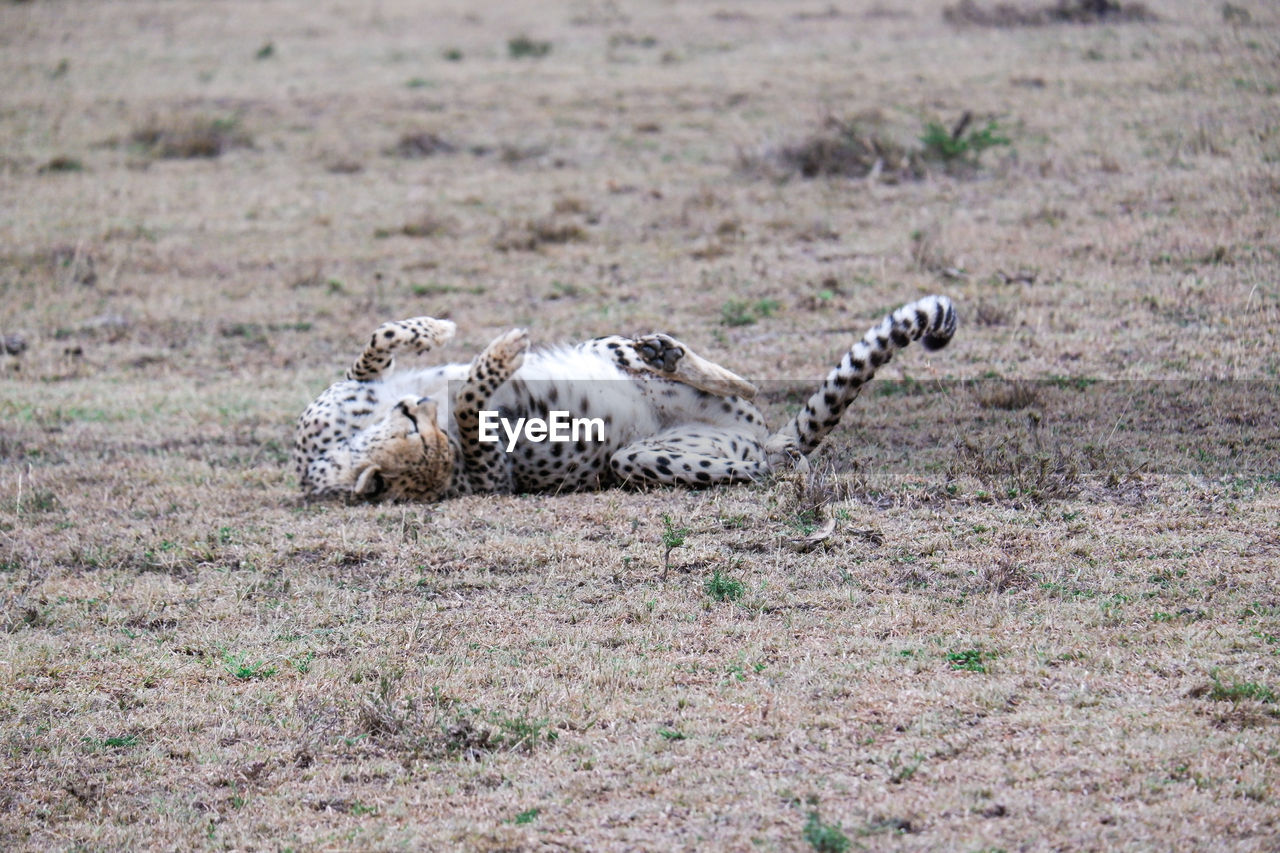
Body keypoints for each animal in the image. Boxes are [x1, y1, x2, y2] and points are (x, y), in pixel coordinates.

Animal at [294, 295, 957, 502]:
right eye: (419, 440)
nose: (420, 409)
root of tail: (758, 438)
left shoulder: (362, 385)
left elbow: (378, 339)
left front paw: (437, 331)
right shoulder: (493, 475)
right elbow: (470, 402)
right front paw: (493, 358)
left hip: (611, 349)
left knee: (729, 381)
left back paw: (668, 355)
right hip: (636, 457)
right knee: (762, 467)